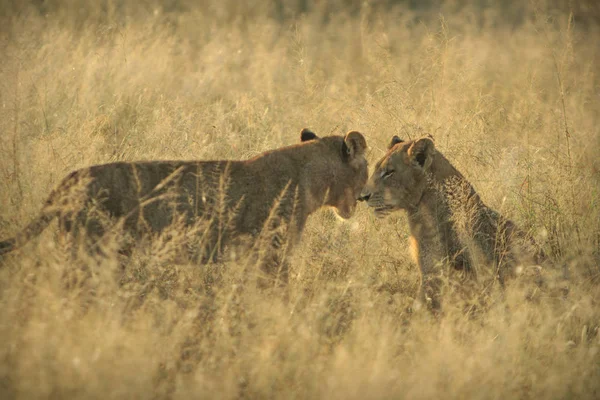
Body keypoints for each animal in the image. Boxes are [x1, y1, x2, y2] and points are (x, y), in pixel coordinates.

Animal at [0, 128, 368, 284]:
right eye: (366, 167)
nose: (365, 197)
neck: (312, 175)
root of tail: (67, 180)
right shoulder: (270, 252)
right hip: (90, 250)